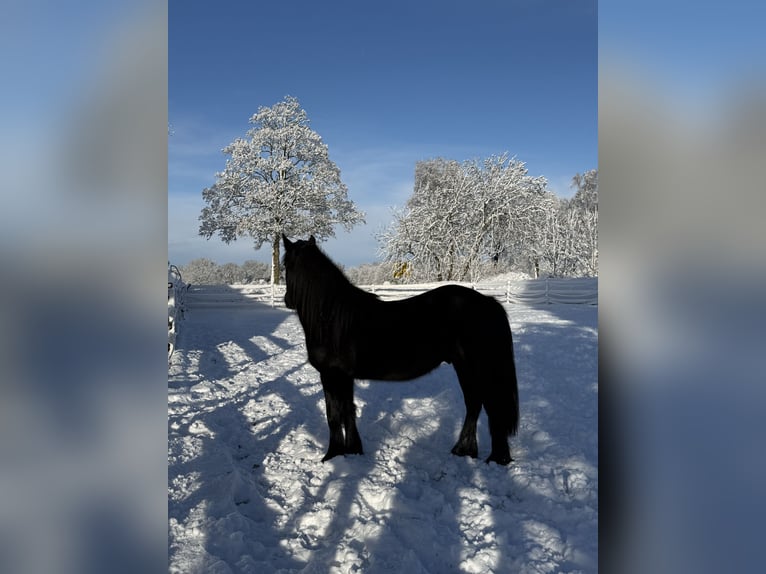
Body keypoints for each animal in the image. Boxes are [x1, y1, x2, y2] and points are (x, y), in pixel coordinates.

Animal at [281, 235, 520, 465]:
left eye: (285, 264)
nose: (287, 301)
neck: (331, 318)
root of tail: (489, 302)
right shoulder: (344, 377)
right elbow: (348, 410)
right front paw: (353, 450)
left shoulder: (331, 375)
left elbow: (333, 414)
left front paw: (332, 454)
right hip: (464, 368)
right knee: (474, 404)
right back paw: (465, 451)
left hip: (478, 369)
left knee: (491, 407)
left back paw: (495, 459)